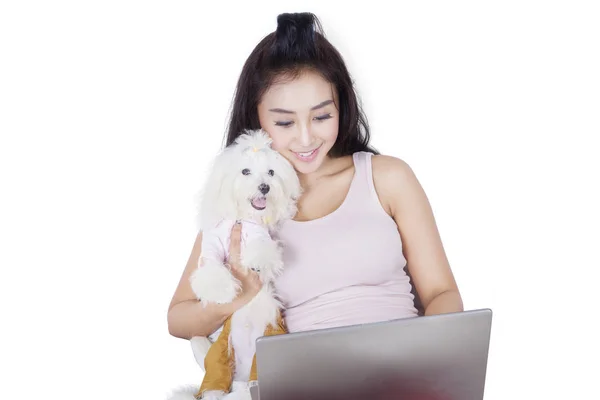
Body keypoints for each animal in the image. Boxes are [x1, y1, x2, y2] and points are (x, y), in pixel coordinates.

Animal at [166, 129, 300, 400]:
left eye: (271, 172)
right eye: (245, 171)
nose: (264, 187)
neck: (242, 218)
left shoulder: (260, 236)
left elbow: (262, 248)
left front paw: (258, 262)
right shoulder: (211, 247)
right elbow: (212, 270)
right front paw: (222, 290)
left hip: (267, 342)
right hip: (220, 356)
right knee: (214, 387)